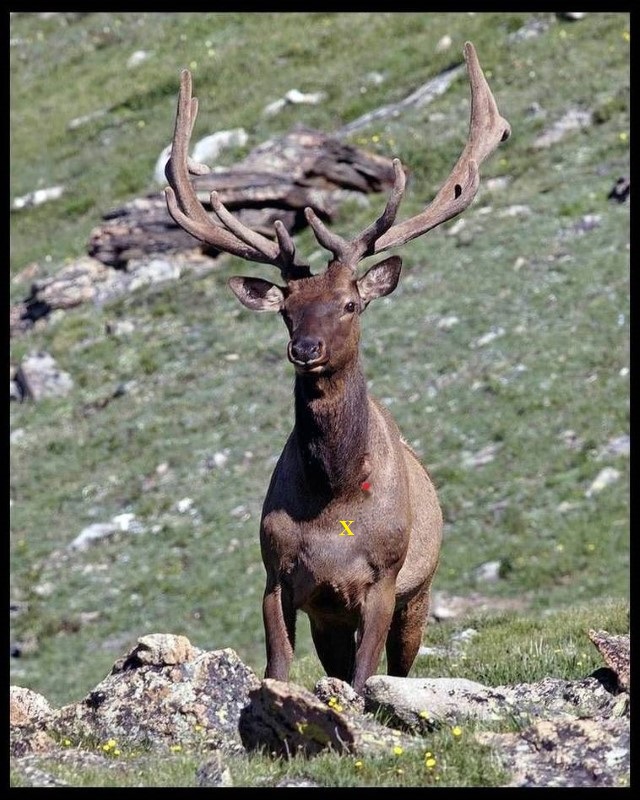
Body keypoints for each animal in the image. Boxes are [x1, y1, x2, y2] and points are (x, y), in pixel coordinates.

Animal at [164, 42, 510, 693]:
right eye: (287, 310)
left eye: (350, 304)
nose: (306, 349)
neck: (335, 506)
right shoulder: (278, 577)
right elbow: (278, 666)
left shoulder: (383, 580)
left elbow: (363, 676)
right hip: (329, 615)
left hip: (419, 592)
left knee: (400, 663)